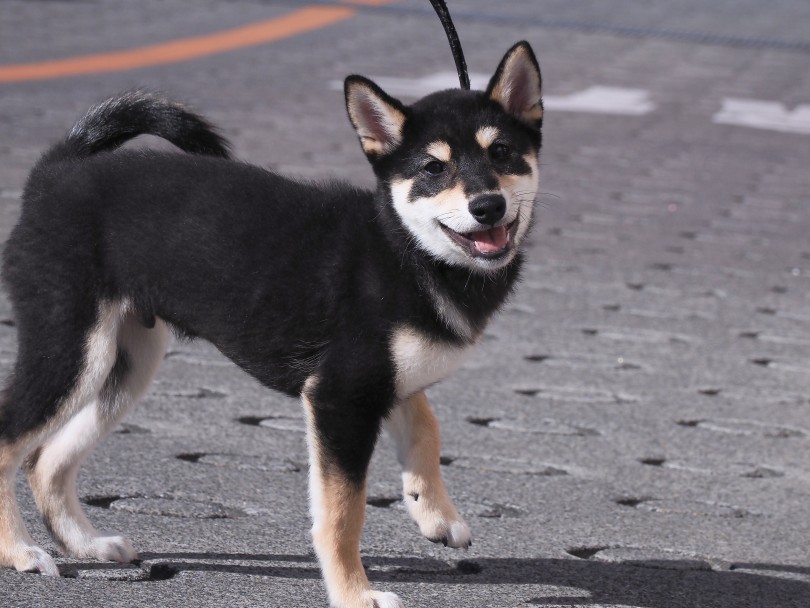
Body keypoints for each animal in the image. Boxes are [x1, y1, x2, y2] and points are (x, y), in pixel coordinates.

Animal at [0, 40, 544, 604]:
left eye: (502, 152)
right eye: (434, 168)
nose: (488, 205)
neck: (407, 251)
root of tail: (57, 171)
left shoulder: (382, 379)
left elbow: (426, 427)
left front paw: (433, 512)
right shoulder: (340, 396)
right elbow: (343, 512)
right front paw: (355, 593)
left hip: (124, 363)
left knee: (46, 460)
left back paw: (84, 543)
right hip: (71, 351)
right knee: (7, 442)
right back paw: (20, 551)